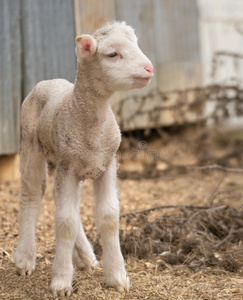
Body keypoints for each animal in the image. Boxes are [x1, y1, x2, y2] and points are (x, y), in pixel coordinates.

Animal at [13, 21, 154, 296]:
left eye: (136, 45)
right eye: (113, 54)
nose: (149, 68)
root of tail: (48, 80)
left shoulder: (107, 165)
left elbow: (108, 218)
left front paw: (117, 277)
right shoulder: (68, 169)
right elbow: (65, 223)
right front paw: (60, 281)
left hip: (66, 164)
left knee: (67, 205)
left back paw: (85, 257)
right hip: (33, 147)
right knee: (32, 195)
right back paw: (25, 258)